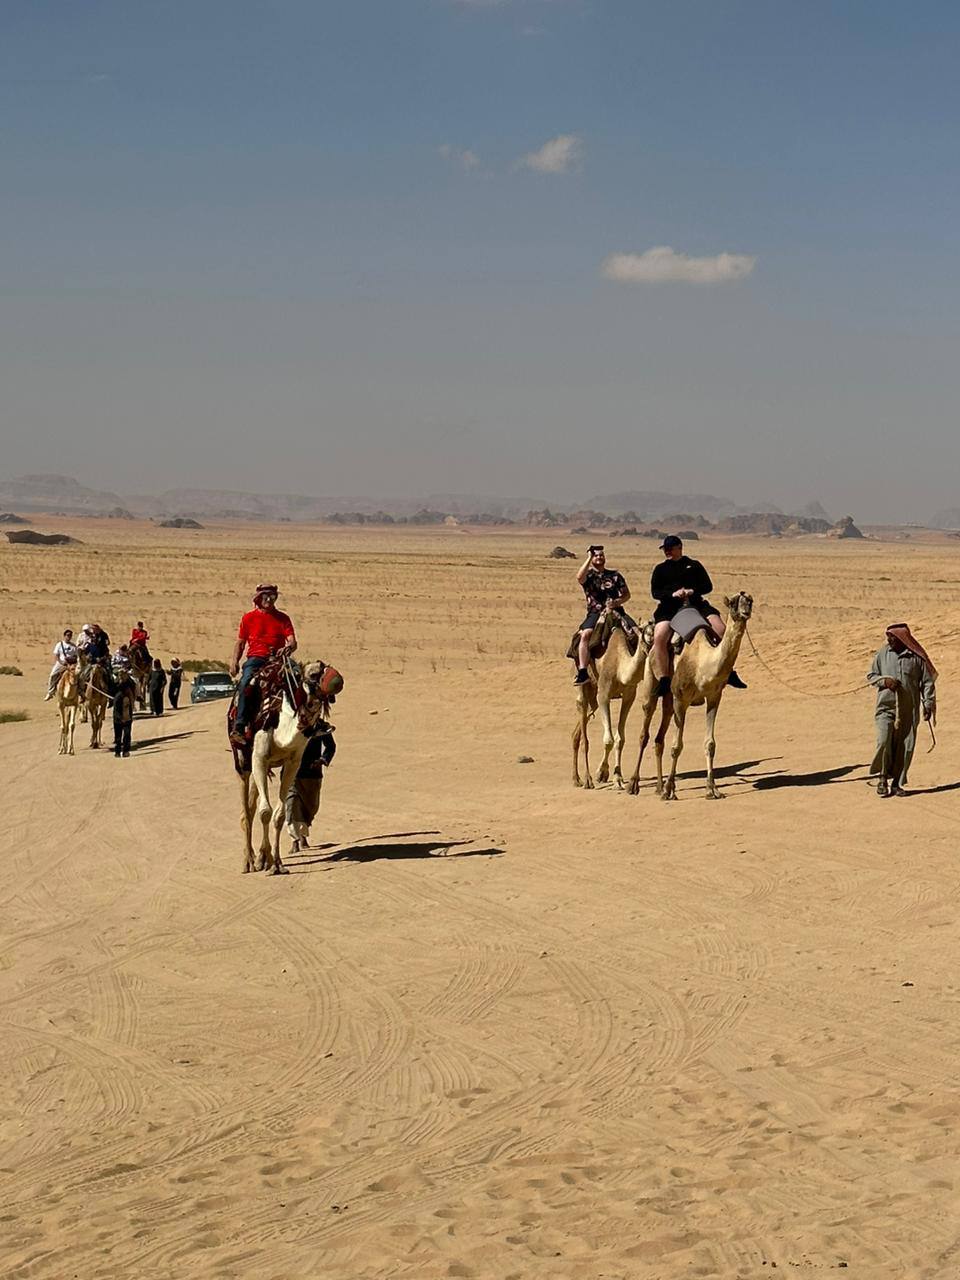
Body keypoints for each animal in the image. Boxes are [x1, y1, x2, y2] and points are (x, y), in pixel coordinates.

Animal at [634, 591, 757, 798]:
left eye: (750, 601)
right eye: (733, 602)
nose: (745, 611)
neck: (702, 663)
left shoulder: (714, 697)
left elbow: (710, 744)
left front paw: (712, 789)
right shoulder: (681, 699)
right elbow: (677, 746)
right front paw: (670, 790)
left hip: (669, 700)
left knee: (659, 738)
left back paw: (659, 786)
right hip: (652, 682)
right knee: (645, 732)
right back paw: (633, 784)